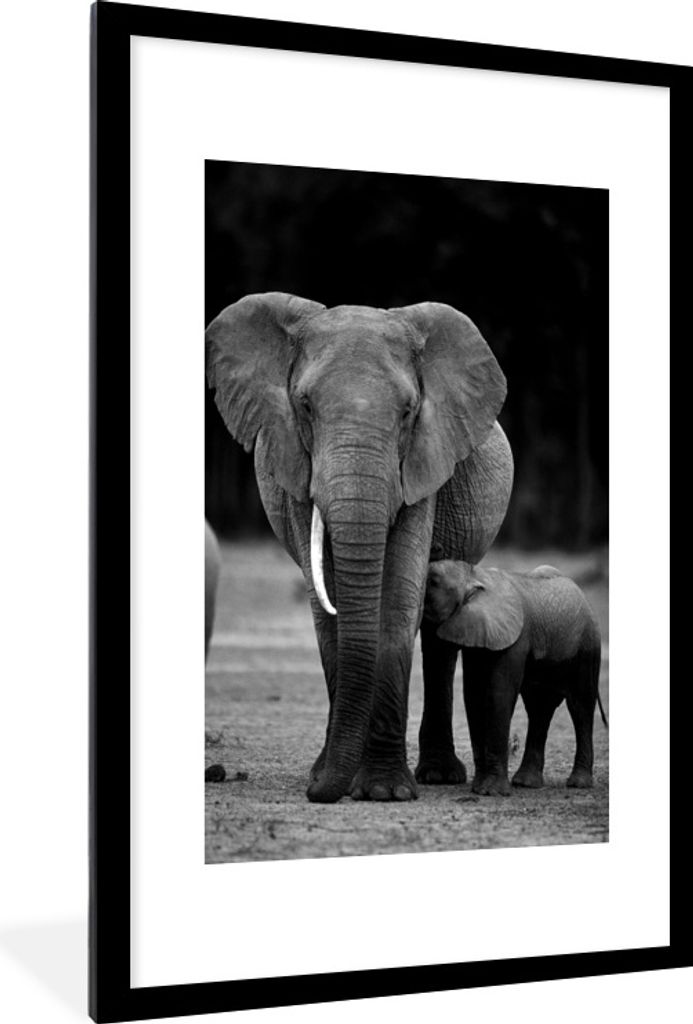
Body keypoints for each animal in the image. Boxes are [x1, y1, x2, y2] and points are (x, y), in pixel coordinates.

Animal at [205, 292, 513, 803]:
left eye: (408, 411)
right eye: (305, 407)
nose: (316, 791)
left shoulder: (422, 466)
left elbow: (397, 603)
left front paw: (384, 791)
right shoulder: (295, 467)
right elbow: (327, 613)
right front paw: (335, 780)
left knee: (439, 632)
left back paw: (437, 775)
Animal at [424, 560, 605, 795]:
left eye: (433, 581)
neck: (475, 575)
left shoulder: (516, 639)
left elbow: (499, 693)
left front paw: (491, 792)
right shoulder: (477, 633)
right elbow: (474, 696)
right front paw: (479, 788)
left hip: (587, 647)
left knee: (580, 706)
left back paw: (578, 784)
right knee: (539, 709)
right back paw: (525, 783)